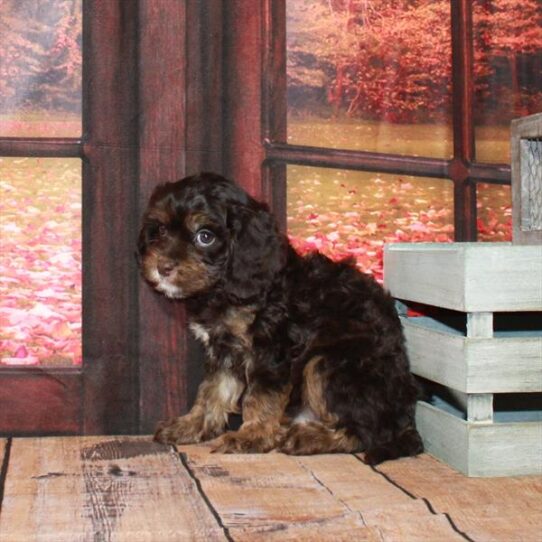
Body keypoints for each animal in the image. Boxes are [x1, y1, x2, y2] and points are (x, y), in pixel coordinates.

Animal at [137, 172, 424, 466]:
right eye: (161, 230)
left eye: (204, 236)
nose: (163, 267)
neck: (225, 289)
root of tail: (406, 417)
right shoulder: (224, 349)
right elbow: (211, 390)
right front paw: (192, 425)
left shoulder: (271, 348)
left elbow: (260, 396)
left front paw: (251, 437)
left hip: (328, 363)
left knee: (366, 432)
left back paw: (307, 438)